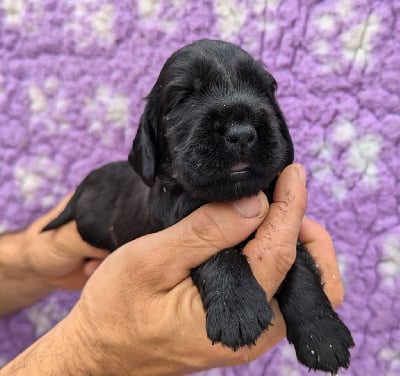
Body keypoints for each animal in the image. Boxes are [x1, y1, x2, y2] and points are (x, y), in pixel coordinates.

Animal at [43, 39, 354, 374]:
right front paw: (237, 309)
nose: (242, 133)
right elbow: (216, 254)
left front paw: (323, 334)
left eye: (263, 90)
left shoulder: (283, 224)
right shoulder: (181, 223)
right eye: (184, 98)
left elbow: (299, 263)